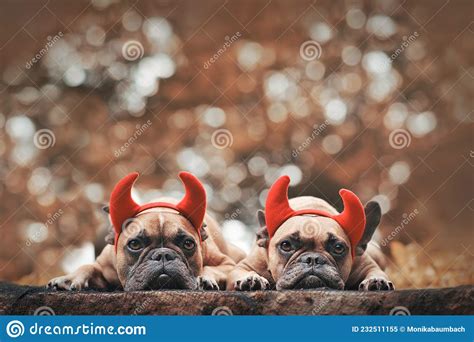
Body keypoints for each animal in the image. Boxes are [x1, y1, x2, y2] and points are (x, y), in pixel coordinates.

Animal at [49, 172, 244, 290]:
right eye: (135, 244)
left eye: (188, 244)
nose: (163, 255)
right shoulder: (103, 266)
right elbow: (88, 266)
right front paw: (68, 279)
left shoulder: (227, 264)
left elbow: (213, 268)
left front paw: (204, 278)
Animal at [227, 176, 392, 292]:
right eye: (286, 245)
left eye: (338, 248)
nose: (313, 258)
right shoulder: (244, 265)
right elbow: (241, 271)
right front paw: (251, 278)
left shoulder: (367, 265)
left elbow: (376, 271)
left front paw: (375, 281)